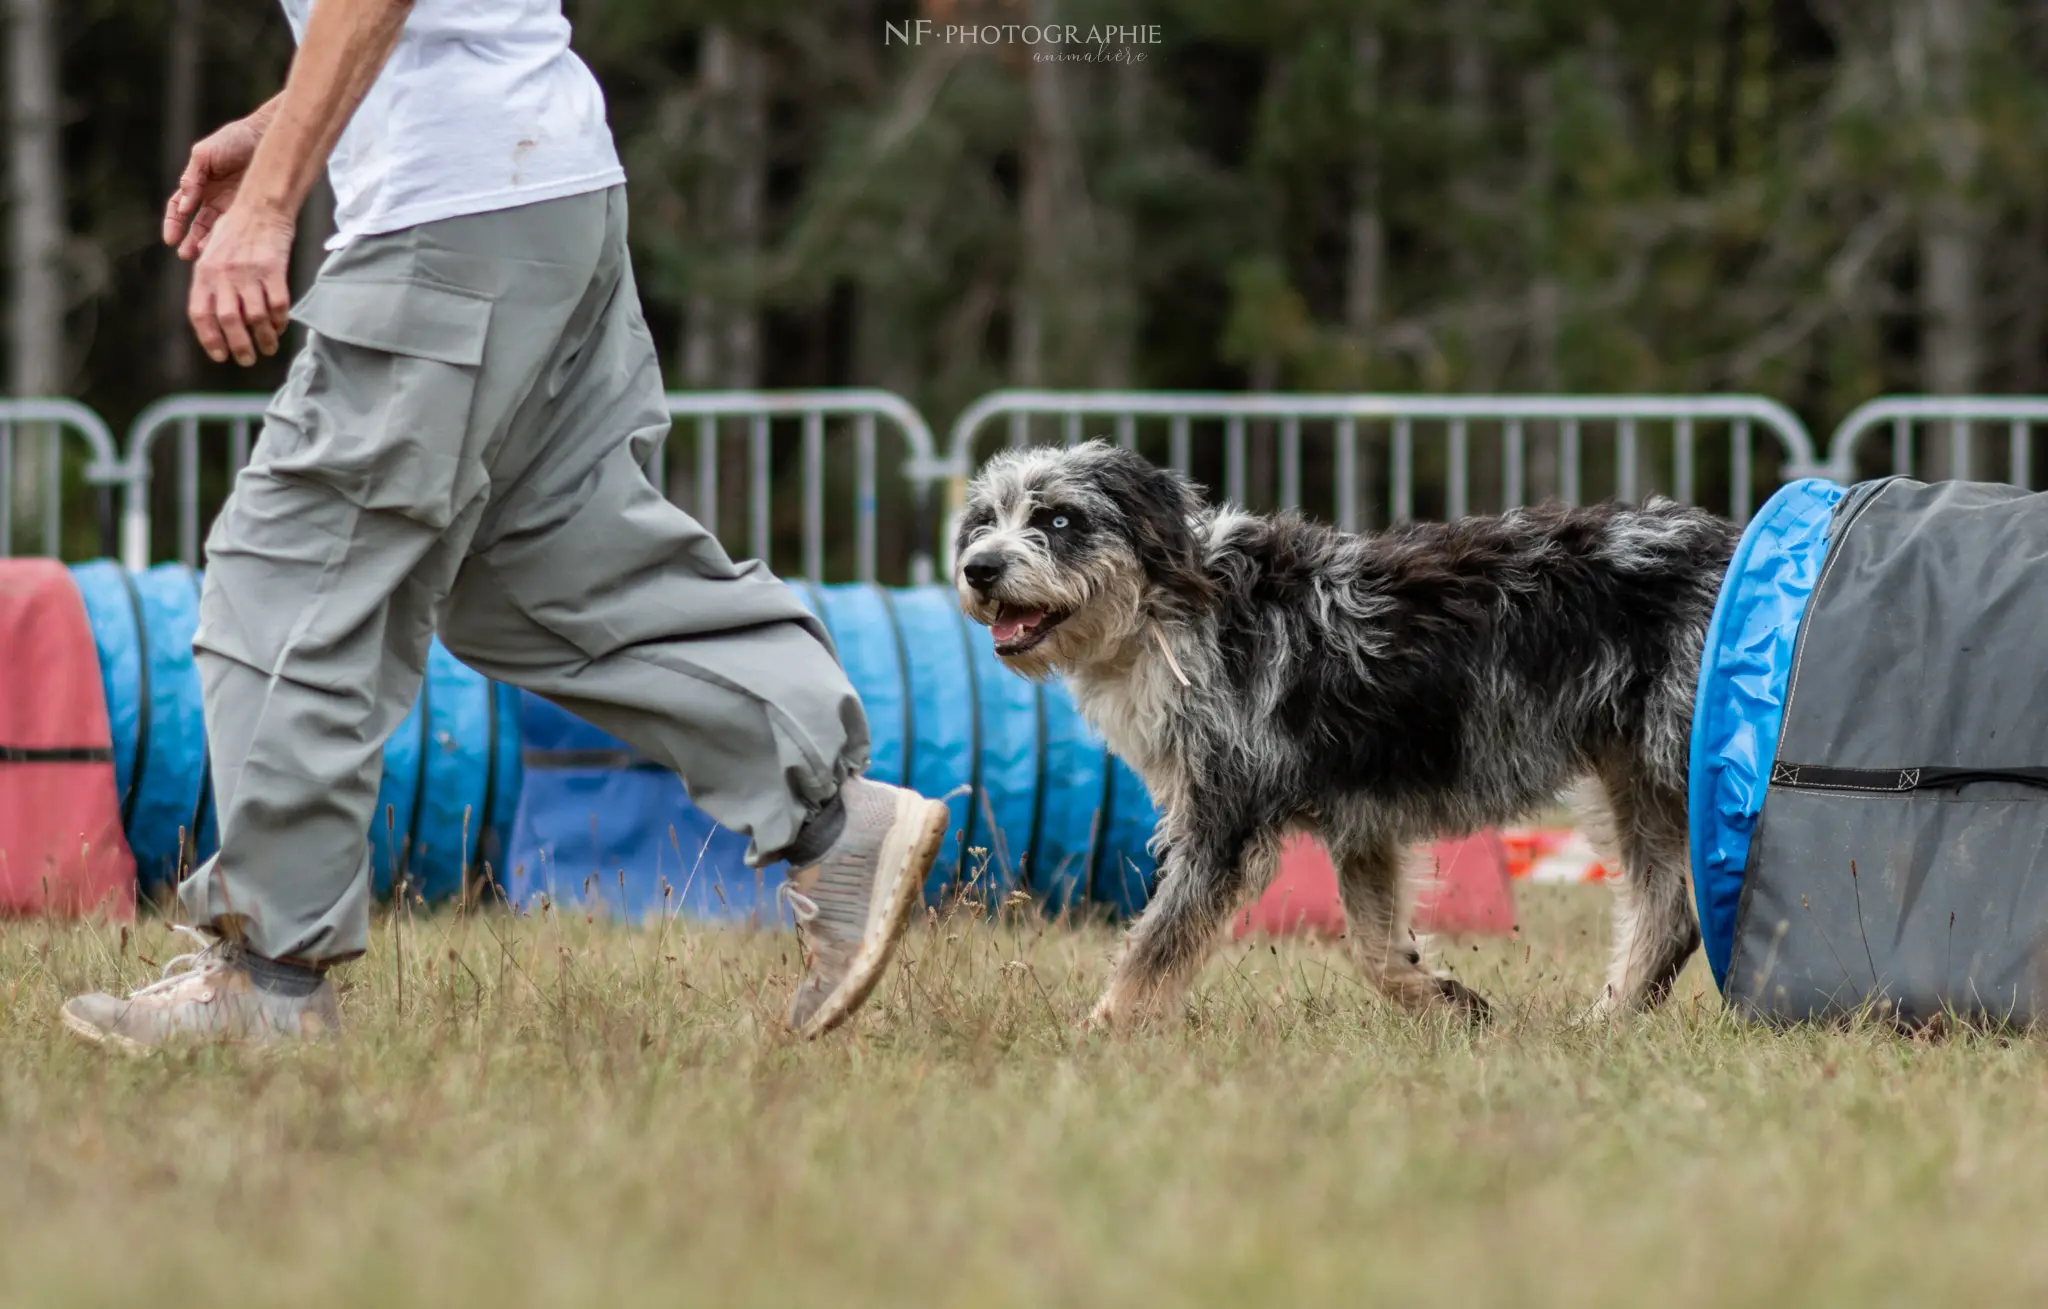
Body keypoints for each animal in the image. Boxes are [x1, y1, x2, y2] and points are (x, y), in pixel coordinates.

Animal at [950, 446, 1736, 1028]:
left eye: (1059, 518)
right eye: (985, 518)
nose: (978, 567)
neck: (1173, 610)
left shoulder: (1223, 823)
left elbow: (1156, 944)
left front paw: (1098, 1033)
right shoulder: (1365, 827)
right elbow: (1374, 949)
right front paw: (1447, 1001)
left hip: (1673, 762)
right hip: (1635, 778)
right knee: (1669, 911)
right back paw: (1608, 1021)